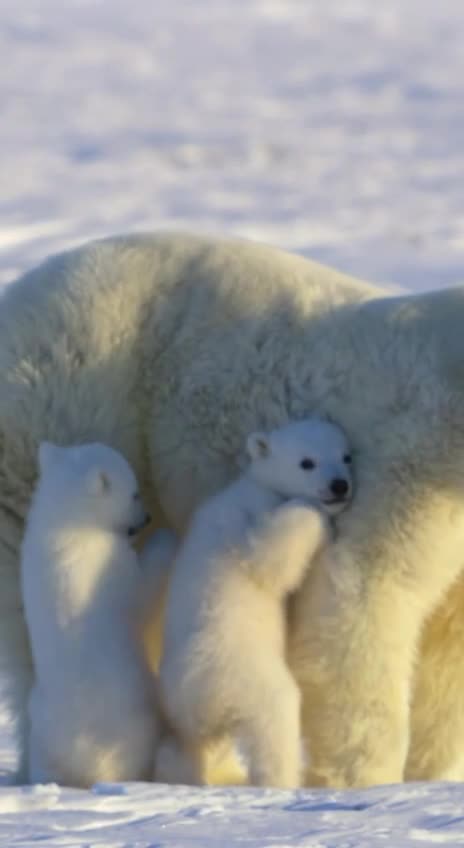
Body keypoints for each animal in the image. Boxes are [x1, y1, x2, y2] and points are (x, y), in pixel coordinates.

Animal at [21, 441, 163, 786]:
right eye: (135, 493)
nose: (148, 518)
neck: (63, 520)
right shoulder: (104, 563)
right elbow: (139, 595)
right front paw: (163, 542)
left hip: (41, 726)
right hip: (132, 713)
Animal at [156, 417, 352, 788]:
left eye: (346, 455)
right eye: (306, 462)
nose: (339, 486)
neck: (254, 482)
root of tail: (199, 698)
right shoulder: (249, 512)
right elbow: (268, 556)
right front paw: (319, 515)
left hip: (180, 712)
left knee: (183, 747)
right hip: (245, 675)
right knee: (276, 718)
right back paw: (282, 780)